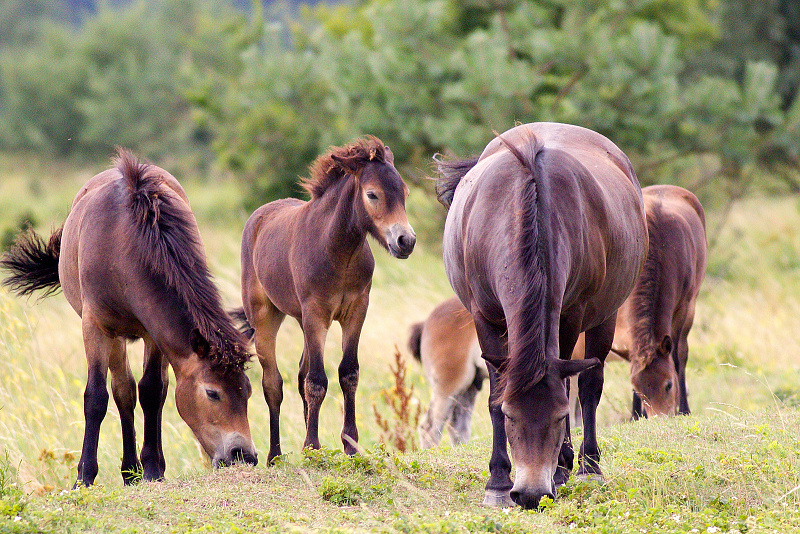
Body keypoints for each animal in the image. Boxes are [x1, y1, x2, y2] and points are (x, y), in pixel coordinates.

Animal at [0, 151, 256, 490]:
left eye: (248, 390)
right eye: (212, 393)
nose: (244, 455)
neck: (124, 245)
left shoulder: (154, 332)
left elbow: (152, 391)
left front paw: (153, 468)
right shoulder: (95, 327)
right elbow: (97, 396)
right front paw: (84, 476)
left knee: (148, 390)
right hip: (114, 336)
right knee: (123, 390)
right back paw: (128, 470)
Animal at [239, 135, 416, 464]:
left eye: (405, 192)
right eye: (372, 194)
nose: (406, 241)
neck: (338, 251)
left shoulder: (356, 311)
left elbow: (348, 373)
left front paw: (350, 444)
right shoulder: (315, 313)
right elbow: (317, 381)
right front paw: (312, 447)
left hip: (301, 320)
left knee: (299, 375)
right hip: (266, 316)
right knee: (274, 384)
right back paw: (275, 455)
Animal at [438, 123, 648, 512]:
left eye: (560, 417)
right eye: (511, 416)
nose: (531, 493)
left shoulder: (570, 315)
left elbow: (569, 386)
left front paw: (563, 467)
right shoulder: (485, 319)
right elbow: (494, 394)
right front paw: (497, 481)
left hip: (604, 317)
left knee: (589, 386)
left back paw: (586, 467)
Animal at [608, 186, 708, 420]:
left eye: (669, 385)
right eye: (637, 389)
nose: (660, 418)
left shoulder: (683, 309)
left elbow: (678, 357)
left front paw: (684, 409)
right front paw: (635, 415)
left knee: (682, 351)